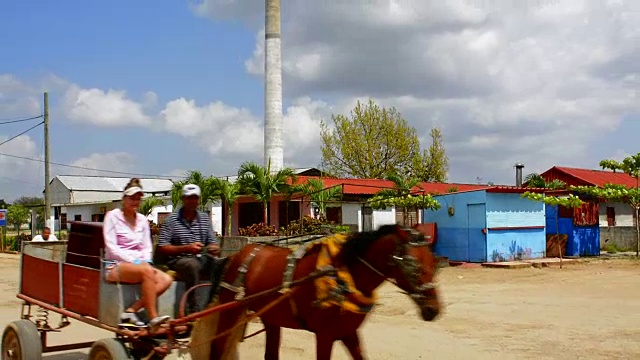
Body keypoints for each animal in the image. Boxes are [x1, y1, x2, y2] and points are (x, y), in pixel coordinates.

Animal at [198, 224, 442, 358]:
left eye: (434, 263)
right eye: (414, 267)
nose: (434, 310)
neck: (344, 276)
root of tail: (236, 255)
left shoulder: (349, 333)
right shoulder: (325, 336)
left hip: (270, 317)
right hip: (229, 310)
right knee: (216, 346)